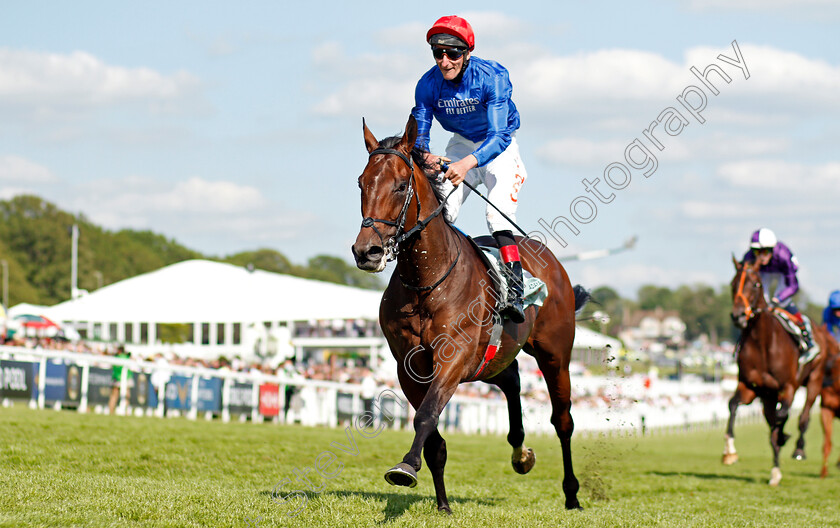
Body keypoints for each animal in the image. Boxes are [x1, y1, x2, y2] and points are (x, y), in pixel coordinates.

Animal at [352, 114, 588, 512]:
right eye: (361, 183)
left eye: (400, 186)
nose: (366, 251)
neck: (426, 281)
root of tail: (553, 263)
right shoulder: (409, 366)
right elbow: (432, 434)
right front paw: (443, 504)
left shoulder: (454, 356)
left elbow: (426, 416)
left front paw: (405, 467)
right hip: (490, 359)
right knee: (512, 380)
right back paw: (520, 453)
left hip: (555, 355)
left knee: (563, 420)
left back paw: (571, 494)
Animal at [720, 258, 828, 484]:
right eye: (733, 284)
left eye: (755, 284)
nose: (738, 316)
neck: (762, 343)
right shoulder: (752, 387)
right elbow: (733, 405)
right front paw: (729, 452)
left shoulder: (788, 386)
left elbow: (782, 416)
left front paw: (784, 437)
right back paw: (776, 471)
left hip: (815, 379)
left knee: (803, 417)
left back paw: (798, 449)